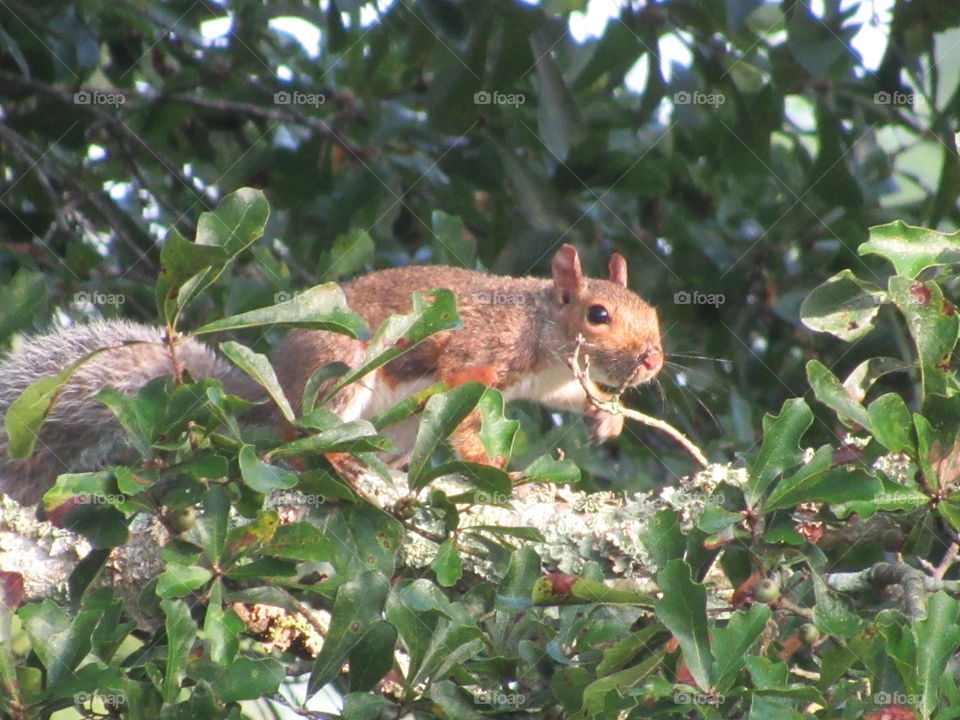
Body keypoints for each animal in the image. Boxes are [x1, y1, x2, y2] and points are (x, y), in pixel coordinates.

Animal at [0, 244, 662, 505]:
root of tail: (274, 389)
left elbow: (572, 392)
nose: (654, 358)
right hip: (339, 374)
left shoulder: (549, 379)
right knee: (294, 439)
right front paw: (497, 468)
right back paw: (337, 460)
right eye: (598, 314)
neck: (538, 326)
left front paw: (605, 417)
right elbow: (464, 414)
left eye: (653, 312)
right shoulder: (478, 353)